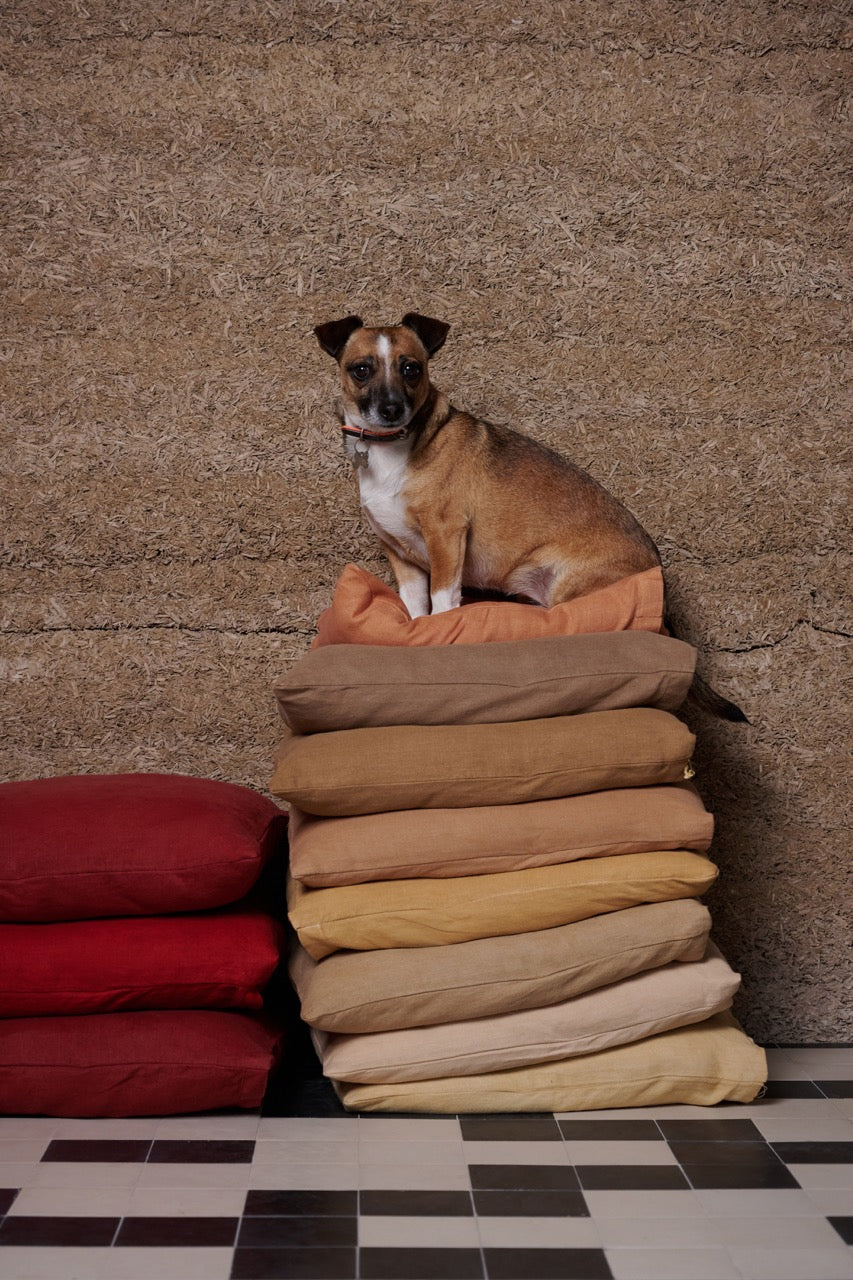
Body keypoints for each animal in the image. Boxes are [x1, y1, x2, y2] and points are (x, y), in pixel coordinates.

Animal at [312, 309, 742, 721]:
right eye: (361, 369)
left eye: (411, 368)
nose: (391, 409)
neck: (390, 451)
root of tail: (663, 594)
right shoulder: (401, 555)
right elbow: (416, 608)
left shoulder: (445, 536)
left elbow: (443, 601)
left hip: (571, 590)